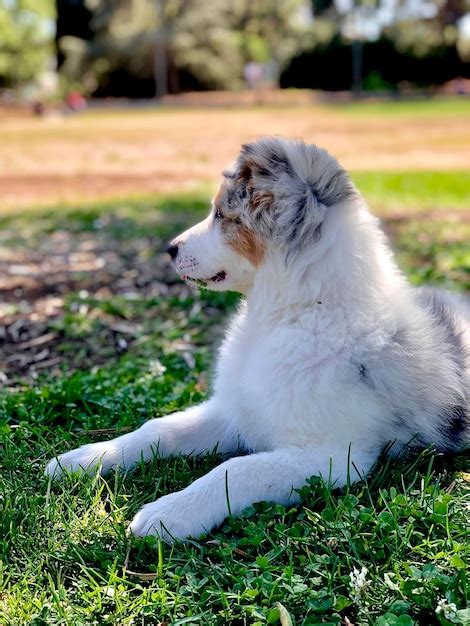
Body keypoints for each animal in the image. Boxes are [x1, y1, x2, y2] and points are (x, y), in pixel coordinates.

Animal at [45, 139, 470, 540]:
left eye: (222, 216)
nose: (170, 249)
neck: (290, 314)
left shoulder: (329, 455)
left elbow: (236, 469)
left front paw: (168, 514)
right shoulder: (235, 411)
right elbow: (159, 429)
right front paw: (84, 459)